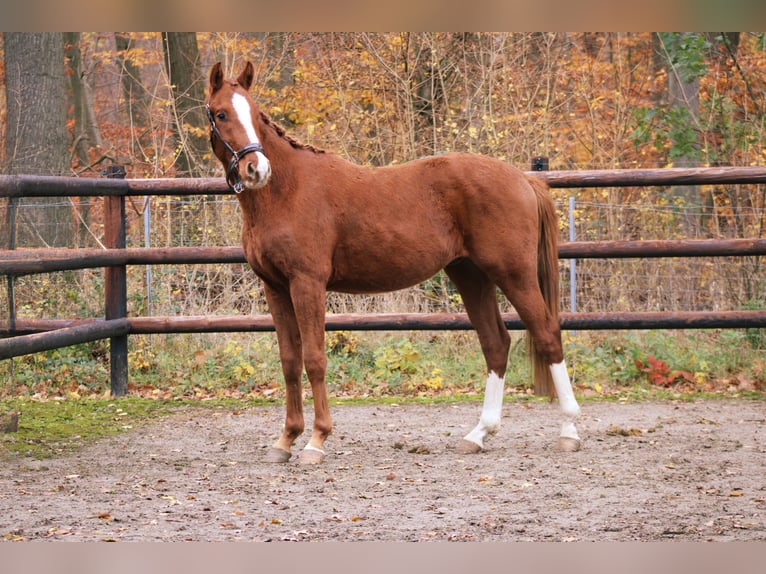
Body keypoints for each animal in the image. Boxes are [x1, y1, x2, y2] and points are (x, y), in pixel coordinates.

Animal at [207, 63, 580, 466]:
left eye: (254, 113)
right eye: (221, 113)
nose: (256, 168)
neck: (286, 191)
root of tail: (523, 179)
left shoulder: (307, 284)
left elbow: (315, 359)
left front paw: (316, 441)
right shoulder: (275, 287)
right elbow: (290, 361)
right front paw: (286, 440)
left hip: (515, 275)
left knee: (547, 334)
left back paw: (569, 431)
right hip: (471, 275)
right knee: (496, 344)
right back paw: (479, 435)